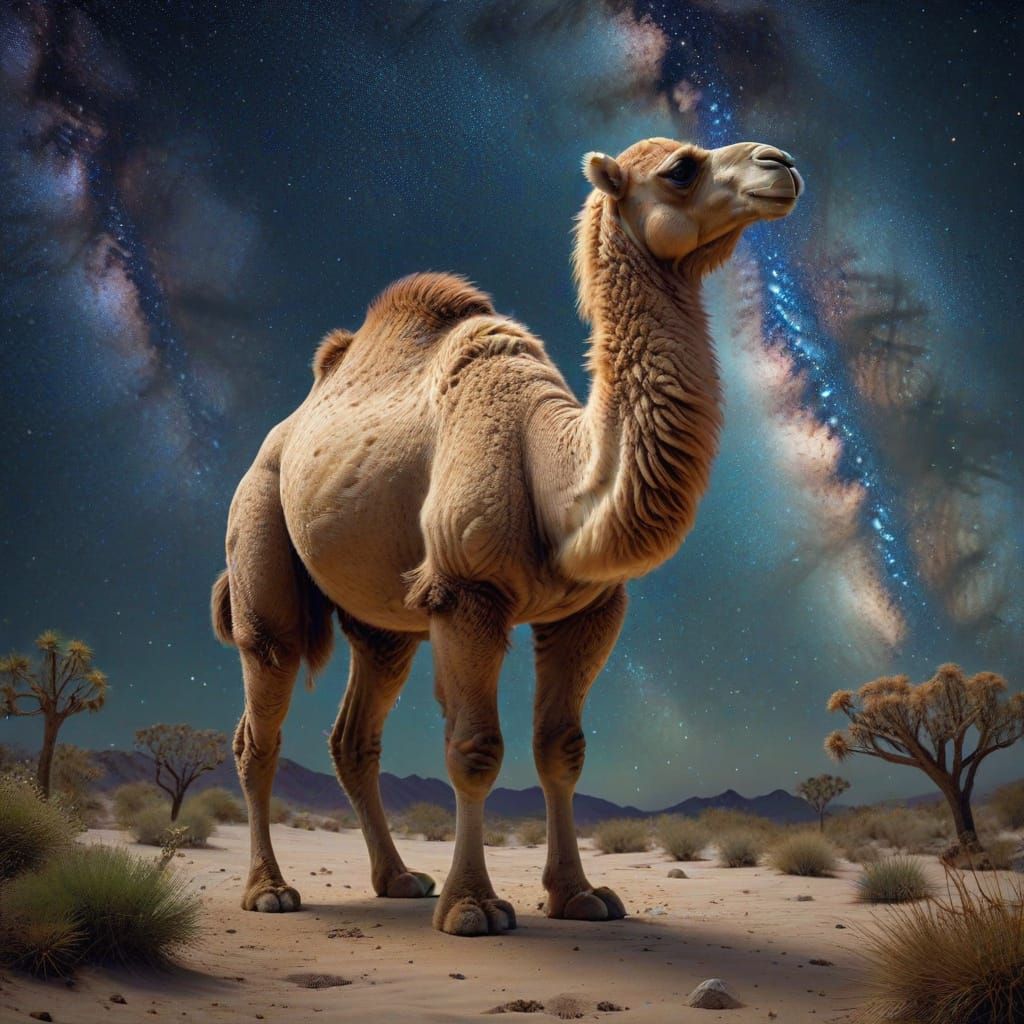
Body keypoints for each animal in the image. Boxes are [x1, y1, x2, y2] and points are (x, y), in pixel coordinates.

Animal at [211, 137, 802, 936]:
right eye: (681, 168)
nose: (782, 164)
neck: (556, 468)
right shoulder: (467, 591)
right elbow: (474, 749)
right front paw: (474, 906)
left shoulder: (589, 610)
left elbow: (563, 750)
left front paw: (580, 895)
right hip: (260, 533)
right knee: (260, 721)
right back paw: (270, 890)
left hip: (383, 623)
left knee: (355, 735)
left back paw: (398, 879)